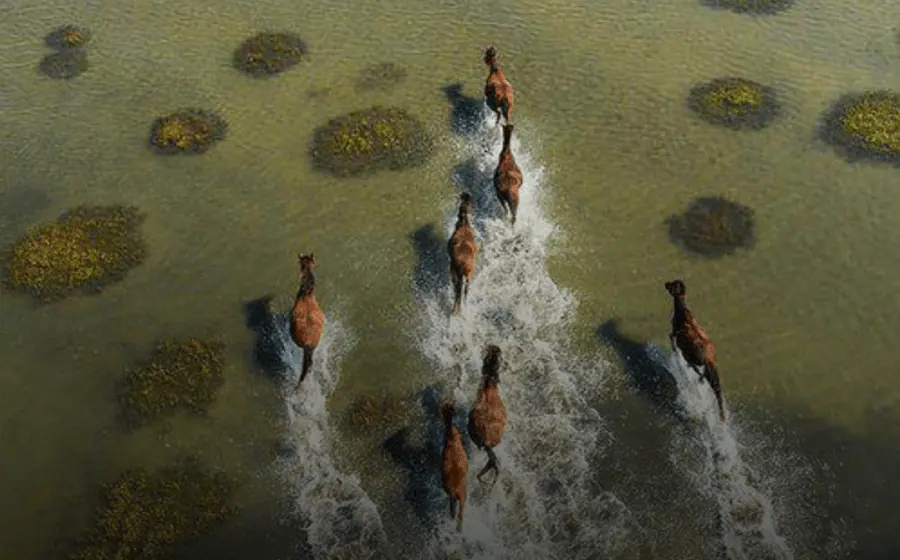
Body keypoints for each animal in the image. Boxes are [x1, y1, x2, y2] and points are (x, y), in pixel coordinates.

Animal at [665, 279, 725, 422]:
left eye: (672, 285)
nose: (665, 283)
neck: (682, 311)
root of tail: (708, 357)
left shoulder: (674, 332)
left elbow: (671, 337)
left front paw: (674, 350)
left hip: (692, 357)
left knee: (696, 369)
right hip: (711, 370)